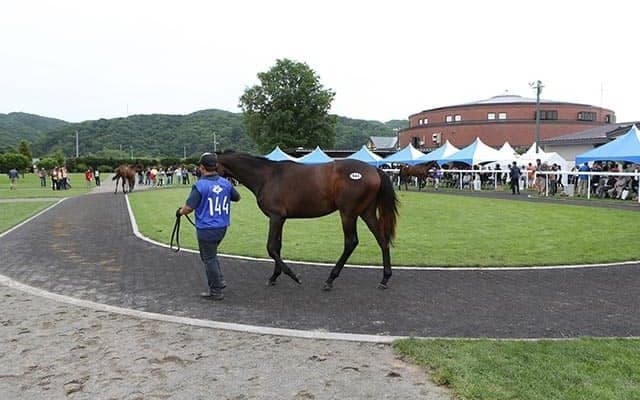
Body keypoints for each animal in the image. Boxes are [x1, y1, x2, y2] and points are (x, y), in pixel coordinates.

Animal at [216, 151, 399, 290]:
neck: (267, 176)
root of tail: (374, 170)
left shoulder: (275, 217)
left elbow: (271, 247)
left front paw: (293, 276)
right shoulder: (281, 219)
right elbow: (277, 247)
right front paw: (274, 276)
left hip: (348, 213)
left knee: (351, 242)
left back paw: (330, 279)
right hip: (366, 213)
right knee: (382, 240)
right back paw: (385, 279)